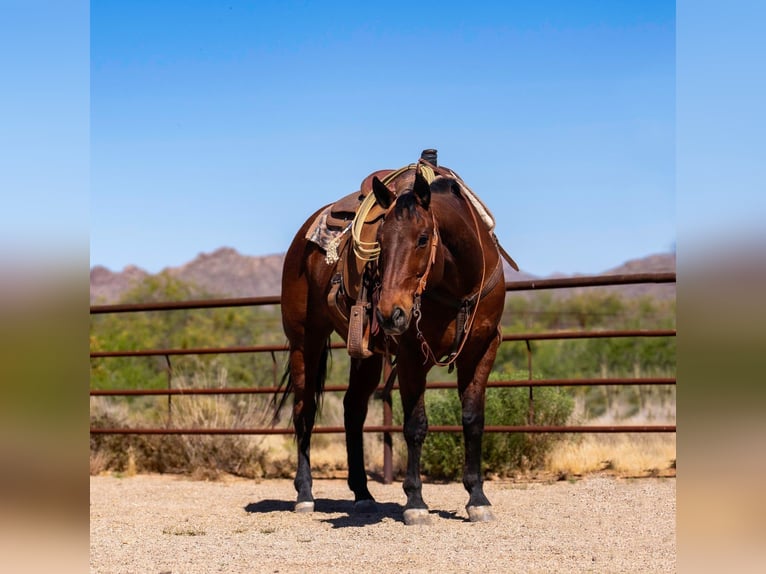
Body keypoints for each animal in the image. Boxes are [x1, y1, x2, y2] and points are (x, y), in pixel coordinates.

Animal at [278, 152, 511, 525]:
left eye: (423, 238)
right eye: (381, 243)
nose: (390, 313)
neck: (458, 286)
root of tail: (303, 235)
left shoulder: (481, 349)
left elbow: (473, 420)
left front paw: (477, 498)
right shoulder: (413, 355)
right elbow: (415, 425)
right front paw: (415, 502)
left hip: (366, 353)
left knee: (353, 408)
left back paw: (362, 494)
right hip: (305, 339)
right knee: (305, 409)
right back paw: (305, 494)